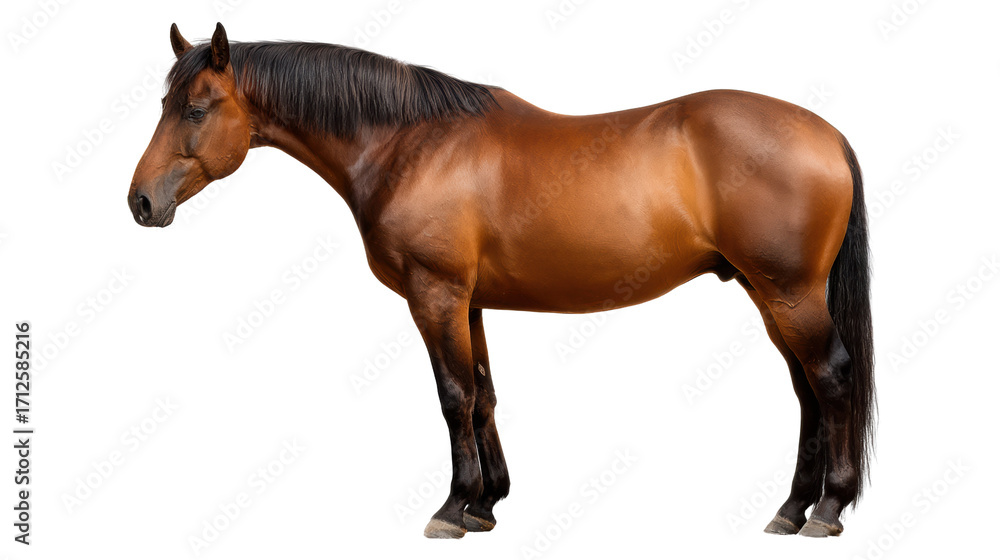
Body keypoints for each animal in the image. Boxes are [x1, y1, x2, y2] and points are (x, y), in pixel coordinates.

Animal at [128, 23, 875, 539]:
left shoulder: (434, 296)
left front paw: (451, 508)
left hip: (789, 293)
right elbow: (483, 395)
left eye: (196, 108)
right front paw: (486, 504)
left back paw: (828, 509)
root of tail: (827, 134)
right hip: (767, 294)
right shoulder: (470, 304)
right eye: (164, 101)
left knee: (832, 377)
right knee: (806, 389)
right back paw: (791, 507)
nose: (140, 202)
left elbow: (453, 397)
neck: (408, 144)